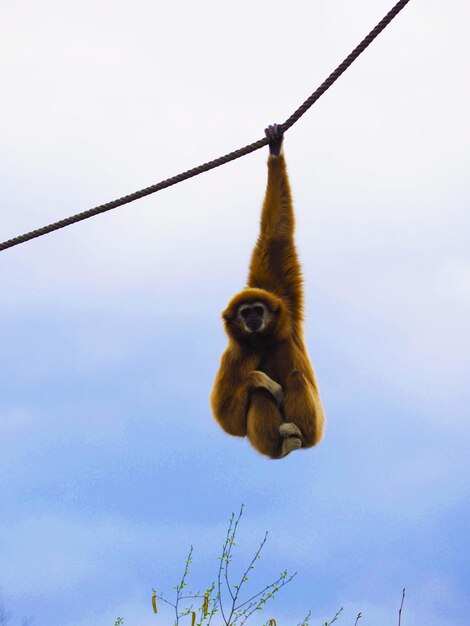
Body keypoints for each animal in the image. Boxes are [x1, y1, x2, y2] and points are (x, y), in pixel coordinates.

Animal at [211, 125, 324, 458]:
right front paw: (261, 380)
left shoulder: (281, 296)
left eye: (257, 310)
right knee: (259, 395)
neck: (264, 337)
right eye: (244, 312)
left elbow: (276, 233)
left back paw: (295, 436)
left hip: (315, 428)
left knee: (297, 376)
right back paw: (283, 443)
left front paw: (275, 150)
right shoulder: (234, 356)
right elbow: (231, 421)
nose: (252, 319)